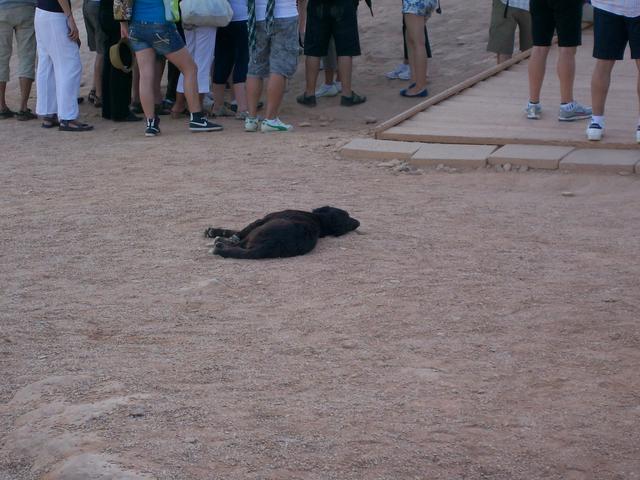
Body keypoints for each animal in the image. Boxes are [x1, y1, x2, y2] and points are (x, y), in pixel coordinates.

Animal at [205, 206, 360, 258]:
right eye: (348, 217)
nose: (358, 222)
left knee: (238, 244)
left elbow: (237, 232)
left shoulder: (261, 220)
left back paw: (219, 244)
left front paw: (215, 232)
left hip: (259, 229)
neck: (320, 221)